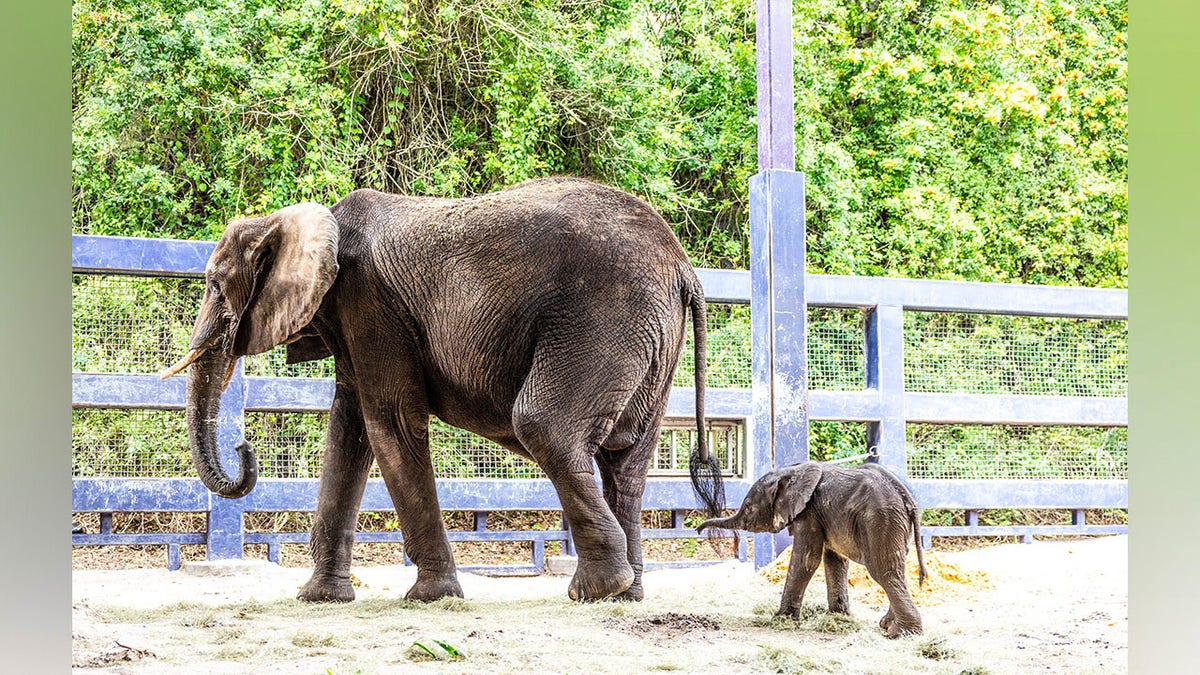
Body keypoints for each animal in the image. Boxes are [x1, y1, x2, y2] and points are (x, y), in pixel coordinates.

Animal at [159, 176, 720, 600]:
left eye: (214, 285)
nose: (243, 447)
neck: (304, 218)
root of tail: (685, 269)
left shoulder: (370, 303)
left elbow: (389, 422)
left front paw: (430, 597)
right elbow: (349, 431)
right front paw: (318, 599)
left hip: (604, 318)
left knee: (546, 428)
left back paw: (597, 589)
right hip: (649, 338)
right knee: (625, 461)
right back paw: (626, 595)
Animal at [700, 456, 921, 634]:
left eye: (748, 507)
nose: (699, 530)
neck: (793, 471)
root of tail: (908, 499)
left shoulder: (809, 512)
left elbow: (806, 560)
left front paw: (781, 619)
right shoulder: (825, 516)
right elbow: (834, 561)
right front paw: (838, 618)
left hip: (881, 520)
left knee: (884, 571)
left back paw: (901, 633)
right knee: (898, 569)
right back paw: (887, 625)